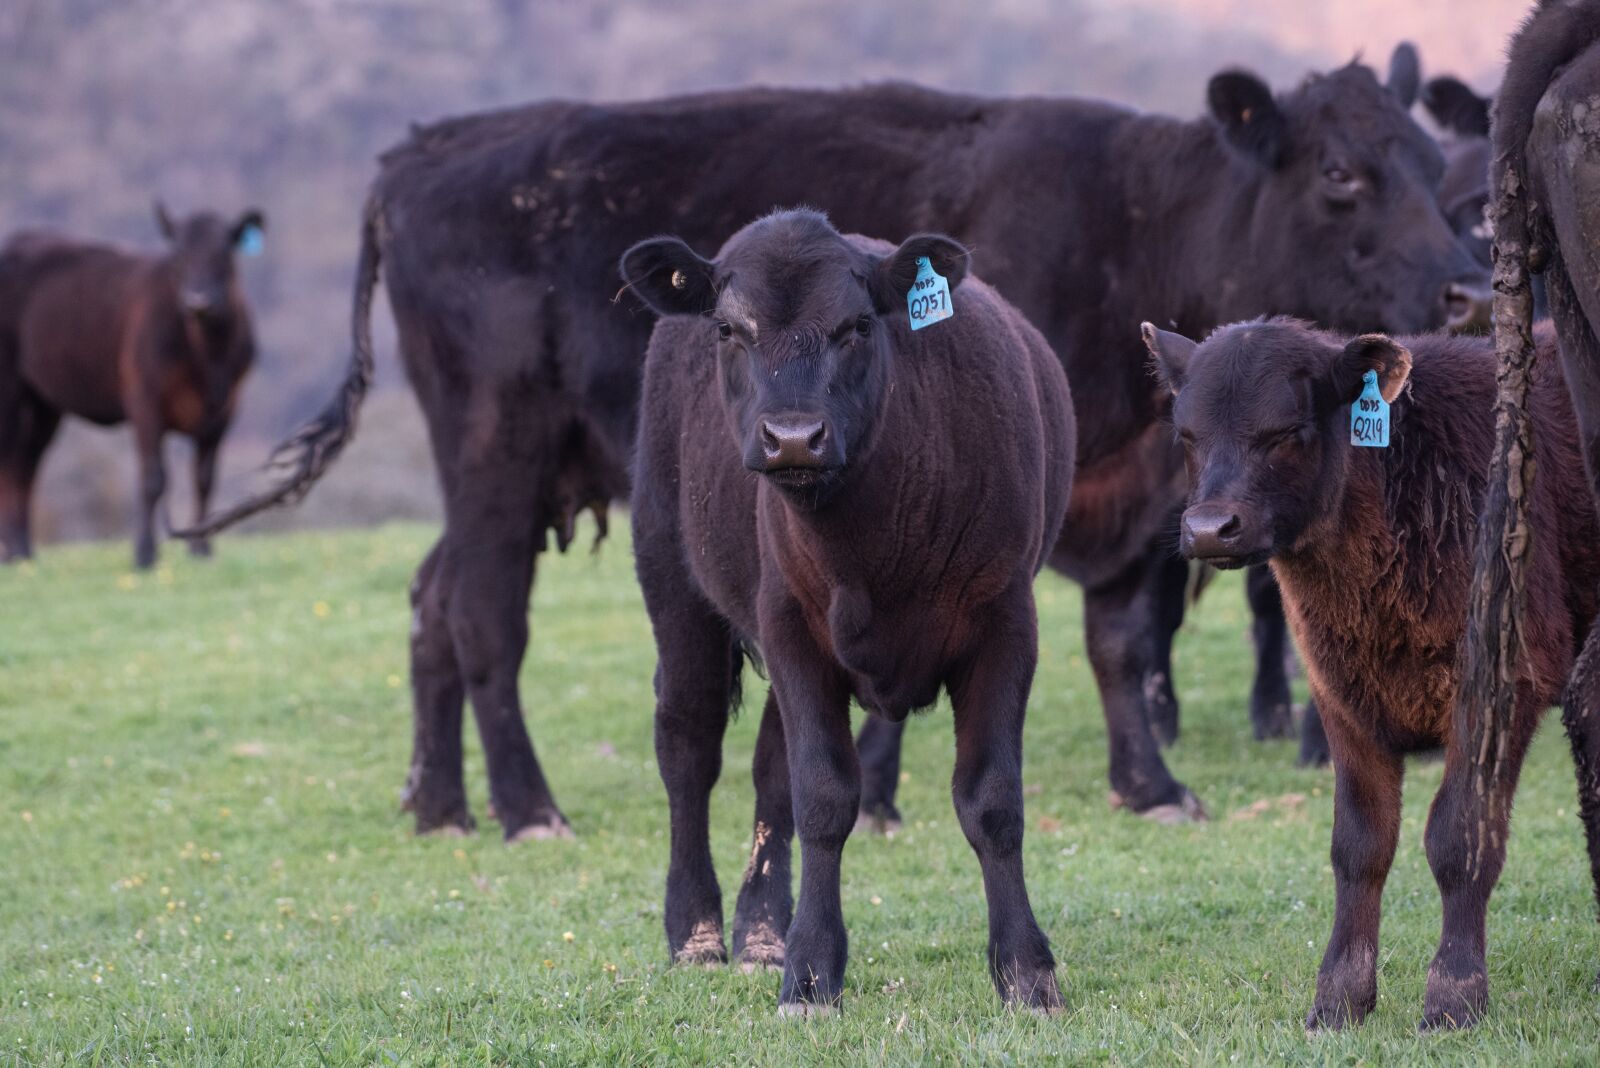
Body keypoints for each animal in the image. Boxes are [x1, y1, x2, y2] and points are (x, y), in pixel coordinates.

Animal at [0, 203, 263, 568]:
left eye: (224, 251)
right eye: (178, 254)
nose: (198, 301)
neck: (209, 362)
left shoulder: (226, 409)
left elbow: (204, 478)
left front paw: (201, 548)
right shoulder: (144, 399)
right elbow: (153, 478)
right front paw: (145, 553)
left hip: (43, 404)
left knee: (25, 466)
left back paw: (25, 552)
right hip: (9, 387)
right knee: (10, 463)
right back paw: (12, 553)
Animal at [181, 57, 1488, 842]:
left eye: (1440, 170)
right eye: (1340, 174)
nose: (1468, 288)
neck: (1129, 220)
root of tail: (421, 152)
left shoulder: (1123, 487)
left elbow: (1120, 639)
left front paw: (1152, 787)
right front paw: (880, 791)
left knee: (428, 600)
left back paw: (437, 802)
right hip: (496, 451)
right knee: (481, 617)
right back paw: (524, 805)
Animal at [623, 209, 1075, 1013]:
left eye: (858, 325)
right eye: (729, 329)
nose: (792, 438)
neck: (874, 546)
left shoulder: (1006, 623)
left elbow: (991, 801)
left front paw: (1027, 973)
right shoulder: (790, 627)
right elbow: (826, 798)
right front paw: (811, 973)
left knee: (768, 766)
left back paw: (759, 935)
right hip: (674, 585)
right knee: (688, 746)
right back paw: (698, 935)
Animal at [1142, 316, 1600, 1029]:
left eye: (1287, 431)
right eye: (1185, 436)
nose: (1210, 529)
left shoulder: (1502, 682)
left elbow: (1460, 837)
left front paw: (1454, 994)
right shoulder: (1342, 699)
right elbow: (1359, 847)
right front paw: (1339, 997)